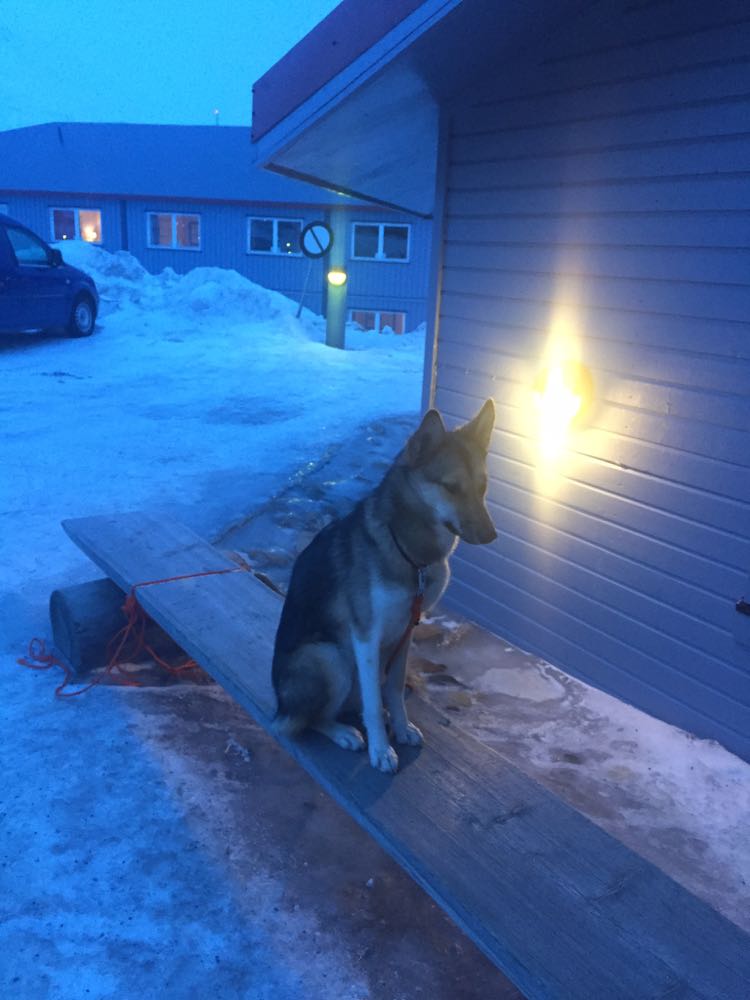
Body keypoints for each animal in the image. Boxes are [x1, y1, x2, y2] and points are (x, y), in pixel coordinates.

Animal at [271, 399, 497, 773]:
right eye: (451, 487)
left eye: (483, 487)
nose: (492, 536)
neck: (413, 558)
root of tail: (279, 707)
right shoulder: (367, 637)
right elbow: (375, 705)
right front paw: (381, 750)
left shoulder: (405, 633)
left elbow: (393, 691)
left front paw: (402, 728)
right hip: (329, 657)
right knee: (310, 720)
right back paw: (343, 733)